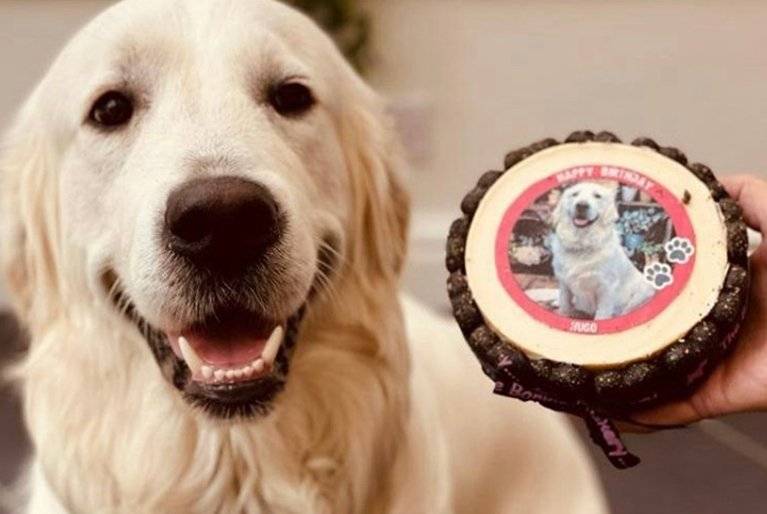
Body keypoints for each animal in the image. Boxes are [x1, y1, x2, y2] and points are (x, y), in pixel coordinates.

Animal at [552, 180, 656, 316]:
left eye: (597, 196)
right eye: (575, 194)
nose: (581, 205)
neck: (582, 243)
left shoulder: (606, 288)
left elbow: (602, 314)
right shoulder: (564, 283)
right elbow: (564, 306)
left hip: (644, 290)